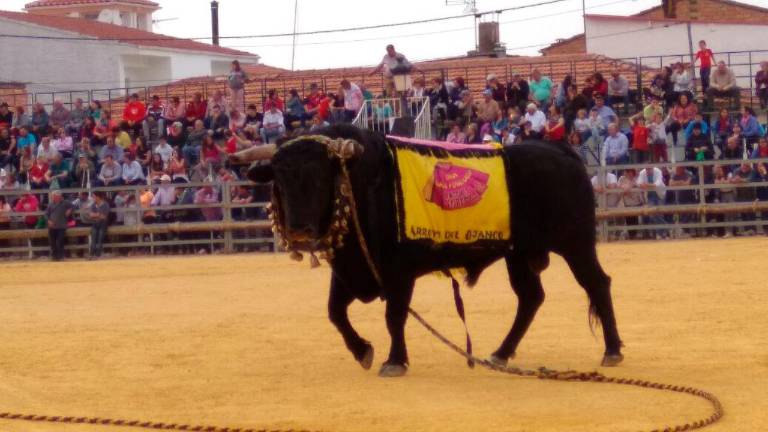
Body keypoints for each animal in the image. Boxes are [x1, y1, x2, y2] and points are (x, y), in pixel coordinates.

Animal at [244, 123, 624, 376]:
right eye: (279, 178)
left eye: (321, 176)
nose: (298, 230)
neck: (360, 184)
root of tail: (561, 151)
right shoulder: (351, 269)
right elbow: (334, 312)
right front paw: (362, 350)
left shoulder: (398, 273)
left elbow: (393, 316)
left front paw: (394, 360)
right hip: (518, 254)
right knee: (530, 297)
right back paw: (501, 353)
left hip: (575, 243)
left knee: (597, 283)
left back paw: (612, 350)